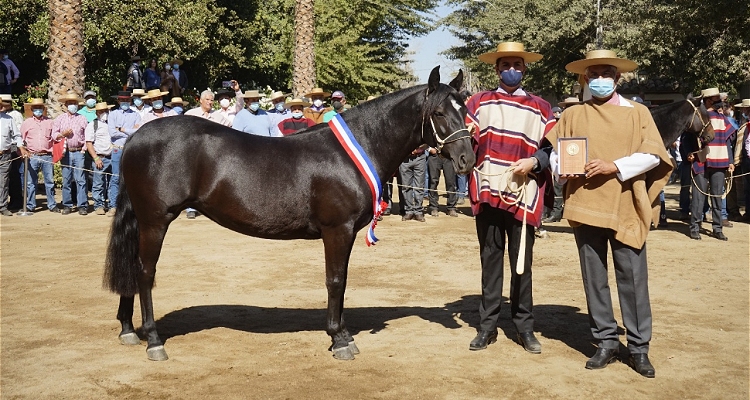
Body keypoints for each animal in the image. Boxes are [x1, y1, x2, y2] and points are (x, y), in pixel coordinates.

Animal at [102, 67, 476, 360]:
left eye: (465, 110)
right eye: (439, 113)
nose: (467, 160)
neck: (352, 151)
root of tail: (136, 137)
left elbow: (342, 280)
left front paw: (342, 334)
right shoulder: (337, 230)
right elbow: (336, 281)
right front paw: (339, 340)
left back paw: (128, 329)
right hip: (155, 221)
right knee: (145, 272)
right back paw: (153, 340)